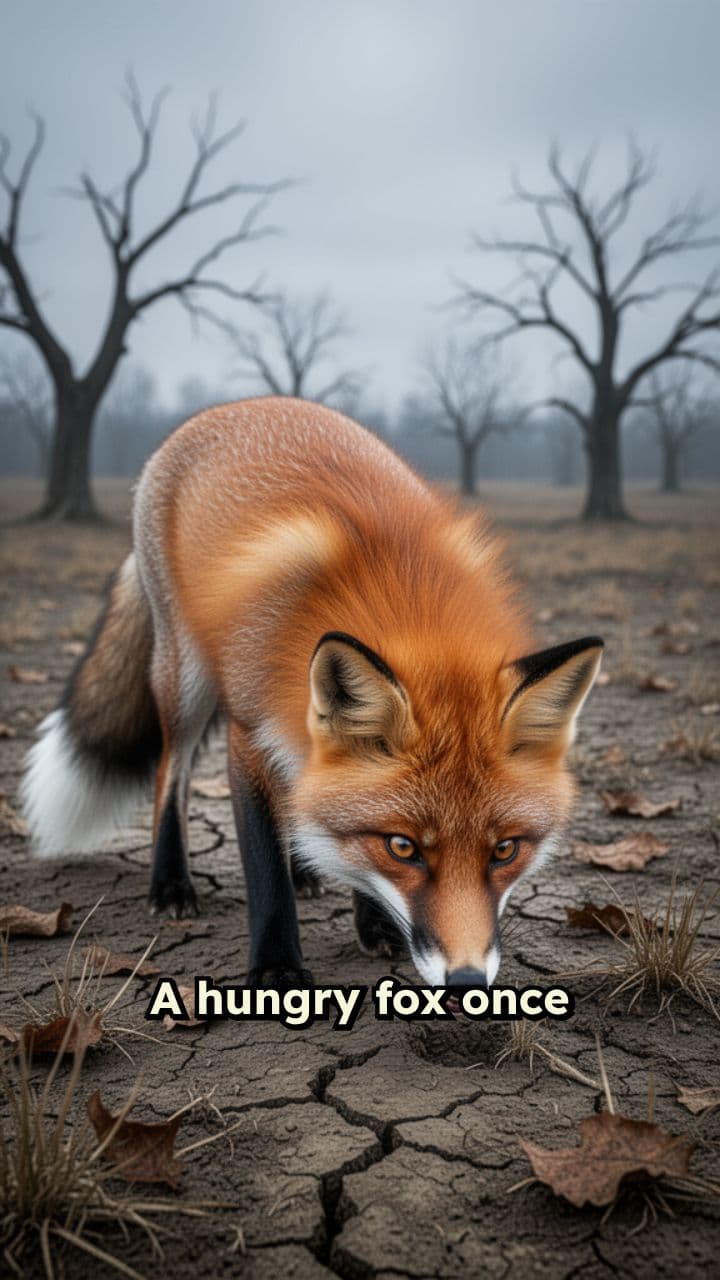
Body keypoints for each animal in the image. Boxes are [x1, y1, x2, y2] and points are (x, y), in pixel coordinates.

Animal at [22, 397, 603, 990]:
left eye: (505, 850)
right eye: (404, 848)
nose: (466, 982)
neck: (398, 593)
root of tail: (233, 407)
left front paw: (372, 920)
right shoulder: (248, 733)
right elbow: (263, 865)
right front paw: (277, 965)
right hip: (184, 679)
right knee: (171, 773)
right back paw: (171, 885)